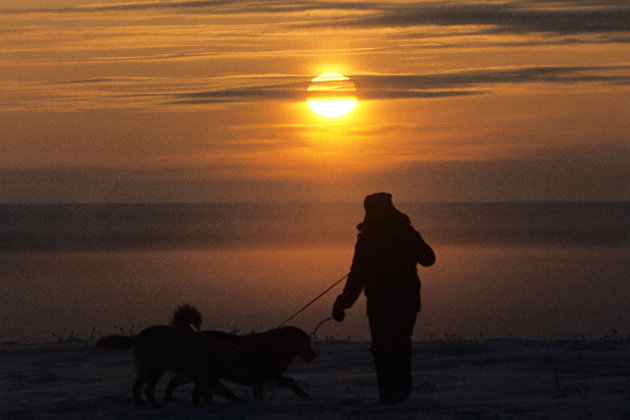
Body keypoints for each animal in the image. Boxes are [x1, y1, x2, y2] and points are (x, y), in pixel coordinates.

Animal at [96, 324, 244, 406]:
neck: (220, 356)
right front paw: (239, 401)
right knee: (148, 389)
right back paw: (155, 405)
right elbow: (224, 392)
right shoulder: (207, 379)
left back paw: (140, 403)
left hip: (148, 370)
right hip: (156, 369)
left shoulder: (200, 379)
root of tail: (141, 335)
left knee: (136, 386)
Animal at [165, 326, 318, 402]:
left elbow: (292, 382)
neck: (277, 346)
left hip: (202, 373)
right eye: (305, 343)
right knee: (177, 382)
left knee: (185, 385)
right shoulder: (260, 379)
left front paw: (303, 394)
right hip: (200, 371)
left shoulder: (270, 377)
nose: (314, 356)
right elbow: (259, 396)